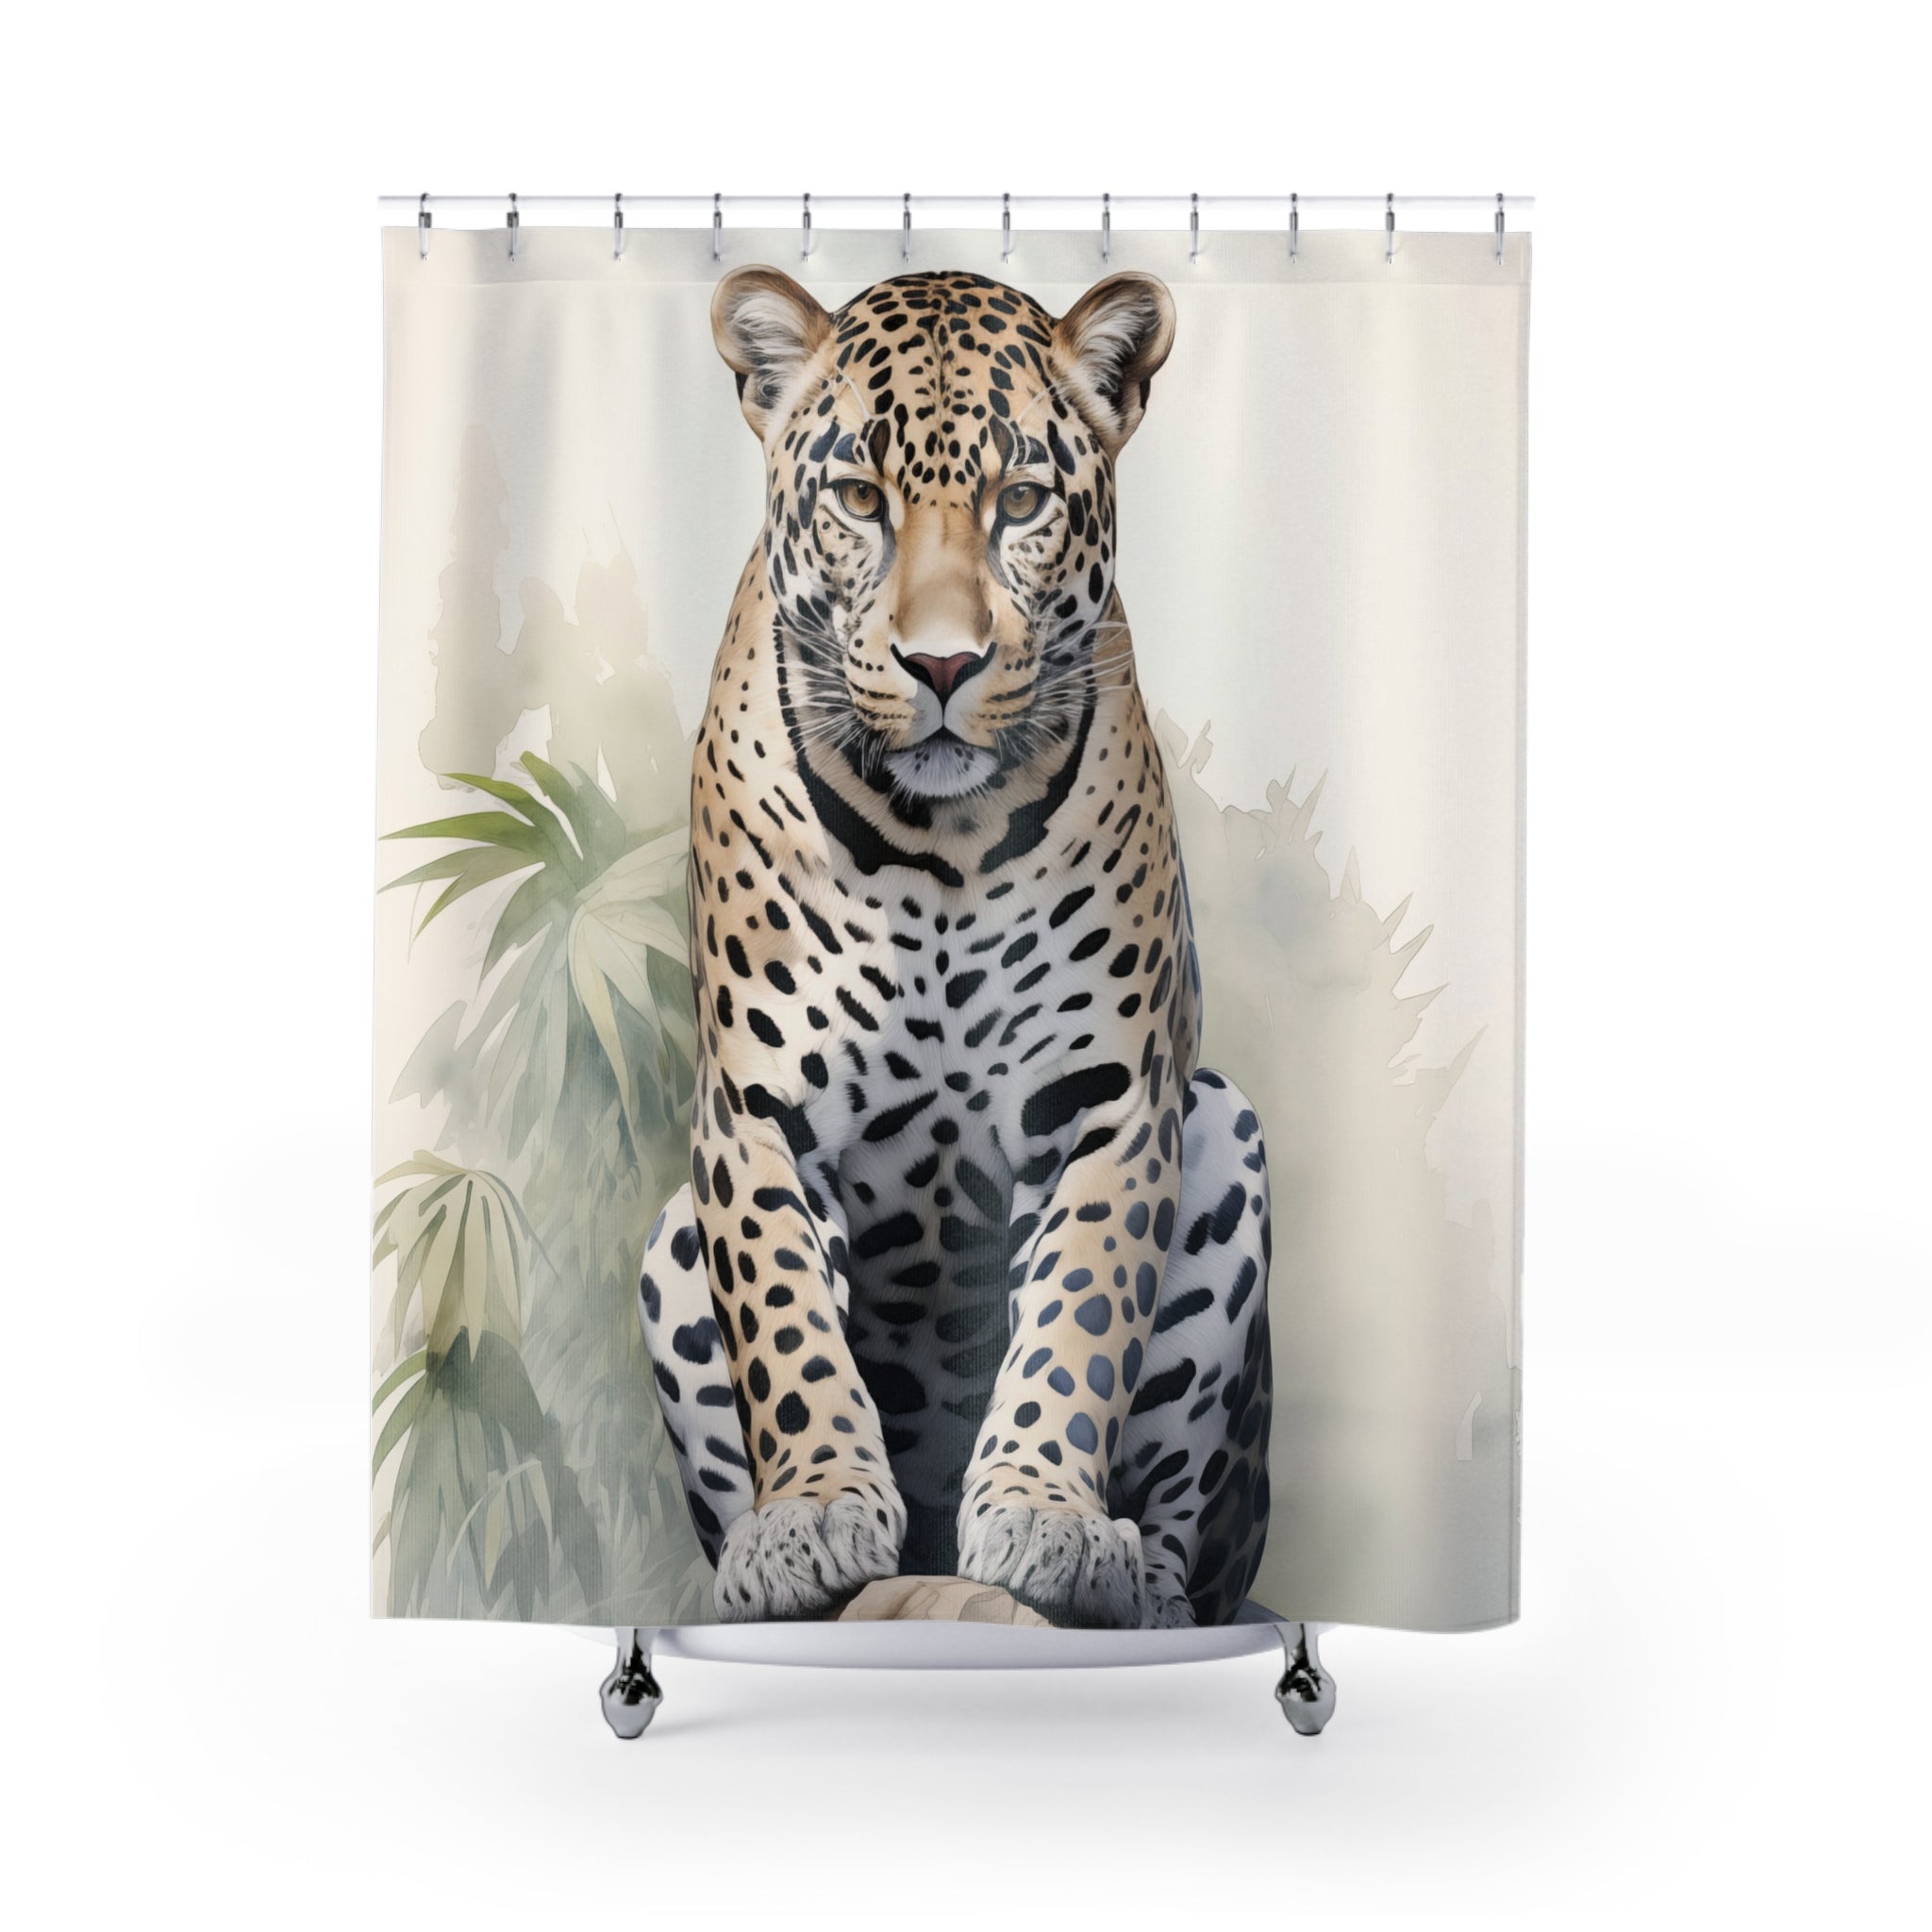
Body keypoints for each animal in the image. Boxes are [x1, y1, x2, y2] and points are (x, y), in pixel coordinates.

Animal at [637, 264, 1273, 1630]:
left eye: (1019, 502)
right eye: (859, 500)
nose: (941, 664)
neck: (939, 844)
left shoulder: (1108, 1103)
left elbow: (1076, 1322)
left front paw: (1042, 1516)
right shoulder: (755, 1113)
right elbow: (787, 1326)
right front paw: (814, 1513)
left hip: (1225, 1129)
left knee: (1187, 1528)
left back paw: (1133, 1579)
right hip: (666, 1243)